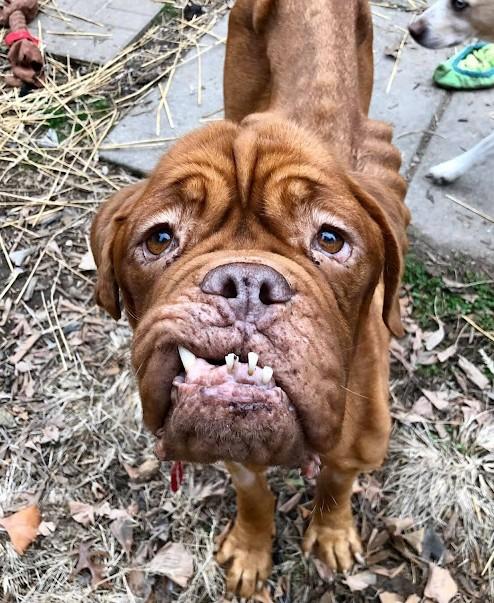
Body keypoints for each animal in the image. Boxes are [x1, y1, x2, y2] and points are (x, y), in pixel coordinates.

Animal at [91, 0, 410, 596]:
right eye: (160, 237)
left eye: (330, 239)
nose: (244, 284)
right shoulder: (233, 454)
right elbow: (255, 493)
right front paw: (250, 548)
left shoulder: (359, 448)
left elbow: (335, 484)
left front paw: (331, 533)